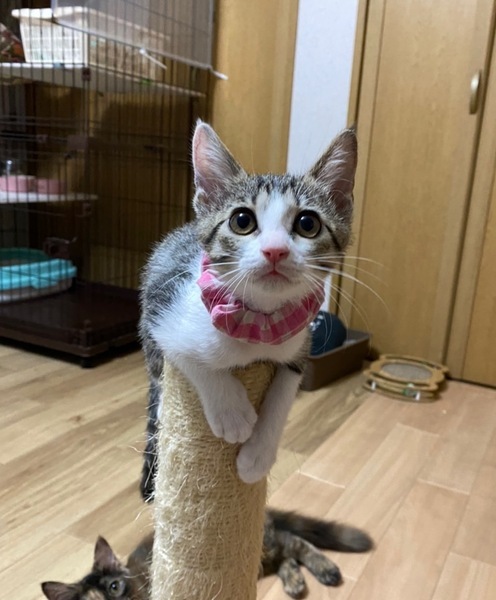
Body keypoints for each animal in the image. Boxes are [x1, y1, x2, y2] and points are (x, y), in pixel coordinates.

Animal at [41, 511, 372, 600]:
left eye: (114, 587)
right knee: (285, 557)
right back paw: (294, 582)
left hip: (259, 547)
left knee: (294, 541)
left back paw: (327, 569)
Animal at [139, 120, 357, 490]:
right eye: (242, 221)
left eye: (308, 224)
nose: (275, 250)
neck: (260, 322)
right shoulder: (162, 310)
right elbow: (189, 355)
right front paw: (232, 413)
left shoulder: (299, 344)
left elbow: (285, 390)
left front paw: (257, 457)